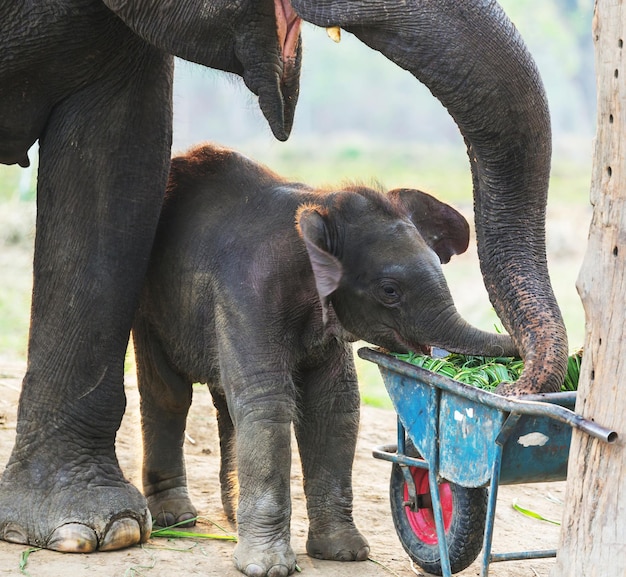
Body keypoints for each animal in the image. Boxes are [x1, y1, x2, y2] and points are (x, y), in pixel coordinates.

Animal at [134, 142, 516, 572]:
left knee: (224, 400)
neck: (321, 207)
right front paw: (268, 567)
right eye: (389, 291)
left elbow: (333, 407)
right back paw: (175, 518)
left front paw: (344, 554)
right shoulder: (248, 295)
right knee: (169, 393)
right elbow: (269, 404)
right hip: (151, 304)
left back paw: (231, 516)